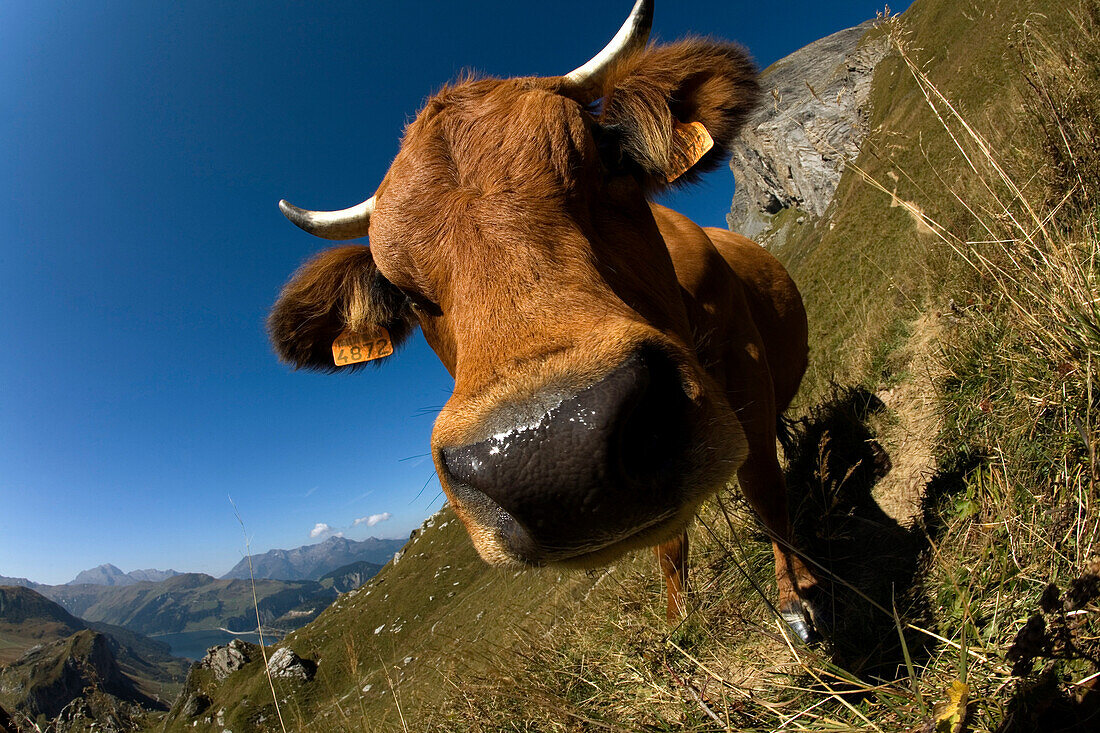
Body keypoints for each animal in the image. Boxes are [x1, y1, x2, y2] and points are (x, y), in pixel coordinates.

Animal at [272, 0, 827, 638]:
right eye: (405, 292)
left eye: (610, 160)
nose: (553, 454)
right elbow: (669, 545)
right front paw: (678, 621)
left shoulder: (746, 366)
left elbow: (764, 490)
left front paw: (796, 599)